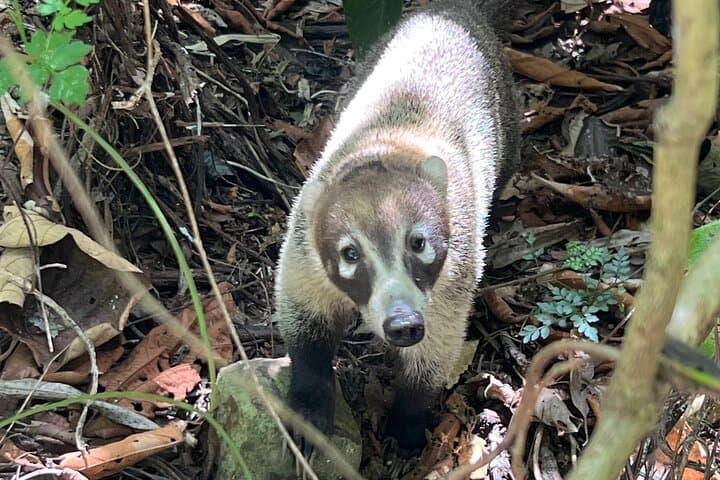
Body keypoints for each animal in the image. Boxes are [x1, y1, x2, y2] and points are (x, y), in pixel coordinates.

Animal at [274, 0, 520, 456]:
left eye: (418, 242)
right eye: (351, 253)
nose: (403, 322)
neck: (391, 146)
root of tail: (454, 10)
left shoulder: (455, 272)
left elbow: (436, 349)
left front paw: (407, 424)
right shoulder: (303, 244)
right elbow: (303, 314)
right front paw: (309, 399)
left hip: (508, 116)